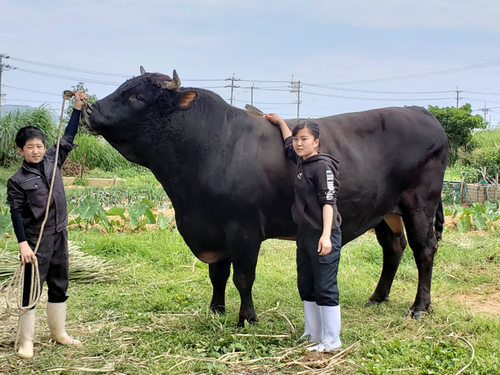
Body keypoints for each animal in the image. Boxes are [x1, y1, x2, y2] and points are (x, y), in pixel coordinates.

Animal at [80, 70, 448, 326]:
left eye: (137, 96)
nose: (88, 109)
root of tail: (422, 112)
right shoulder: (214, 227)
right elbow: (217, 274)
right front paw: (216, 310)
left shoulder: (243, 228)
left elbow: (243, 277)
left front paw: (246, 317)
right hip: (385, 210)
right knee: (394, 247)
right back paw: (378, 297)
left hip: (419, 202)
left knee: (424, 249)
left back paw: (419, 307)